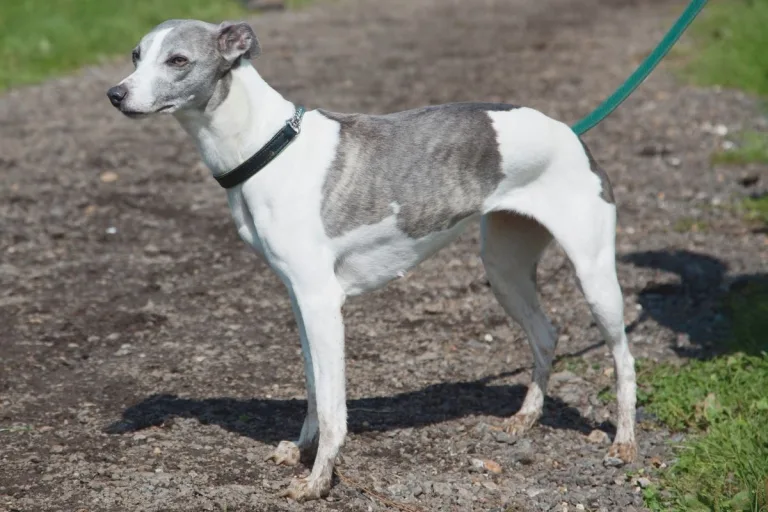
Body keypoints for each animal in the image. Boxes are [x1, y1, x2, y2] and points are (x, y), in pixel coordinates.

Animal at [106, 19, 636, 500]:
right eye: (135, 54)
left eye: (178, 60)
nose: (115, 94)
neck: (267, 147)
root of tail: (569, 131)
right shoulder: (301, 300)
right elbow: (314, 388)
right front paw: (301, 450)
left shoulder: (322, 302)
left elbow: (333, 407)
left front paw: (318, 481)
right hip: (504, 269)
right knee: (546, 334)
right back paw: (526, 418)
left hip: (594, 275)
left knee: (623, 356)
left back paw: (625, 442)